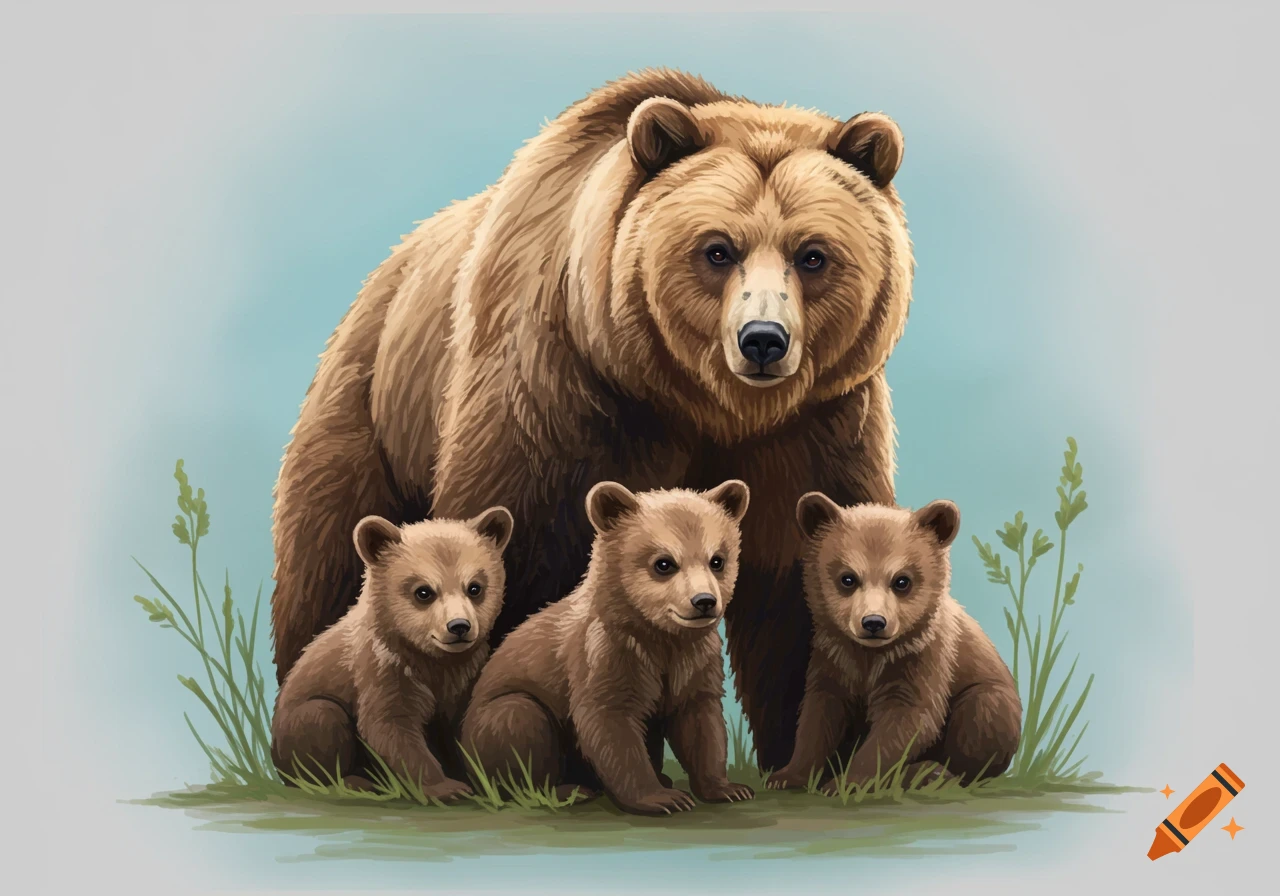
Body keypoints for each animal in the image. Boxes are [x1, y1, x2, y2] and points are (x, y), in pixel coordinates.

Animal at [270, 507, 512, 800]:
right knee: (320, 718)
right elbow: (390, 726)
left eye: (475, 587)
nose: (459, 626)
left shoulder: (464, 674)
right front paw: (446, 787)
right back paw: (352, 781)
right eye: (423, 591)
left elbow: (459, 721)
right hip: (295, 726)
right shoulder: (382, 668)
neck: (430, 660)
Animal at [459, 480, 756, 816]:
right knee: (518, 718)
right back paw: (566, 789)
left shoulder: (695, 658)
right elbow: (609, 722)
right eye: (664, 563)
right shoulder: (606, 652)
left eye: (717, 559)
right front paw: (662, 798)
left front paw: (727, 788)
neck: (660, 636)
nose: (704, 601)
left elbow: (700, 721)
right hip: (491, 722)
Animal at [766, 494, 1021, 793]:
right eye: (847, 578)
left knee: (981, 718)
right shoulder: (834, 656)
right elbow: (819, 715)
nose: (873, 622)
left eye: (902, 581)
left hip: (990, 700)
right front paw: (786, 775)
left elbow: (907, 720)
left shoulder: (922, 658)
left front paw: (846, 783)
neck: (871, 655)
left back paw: (931, 772)